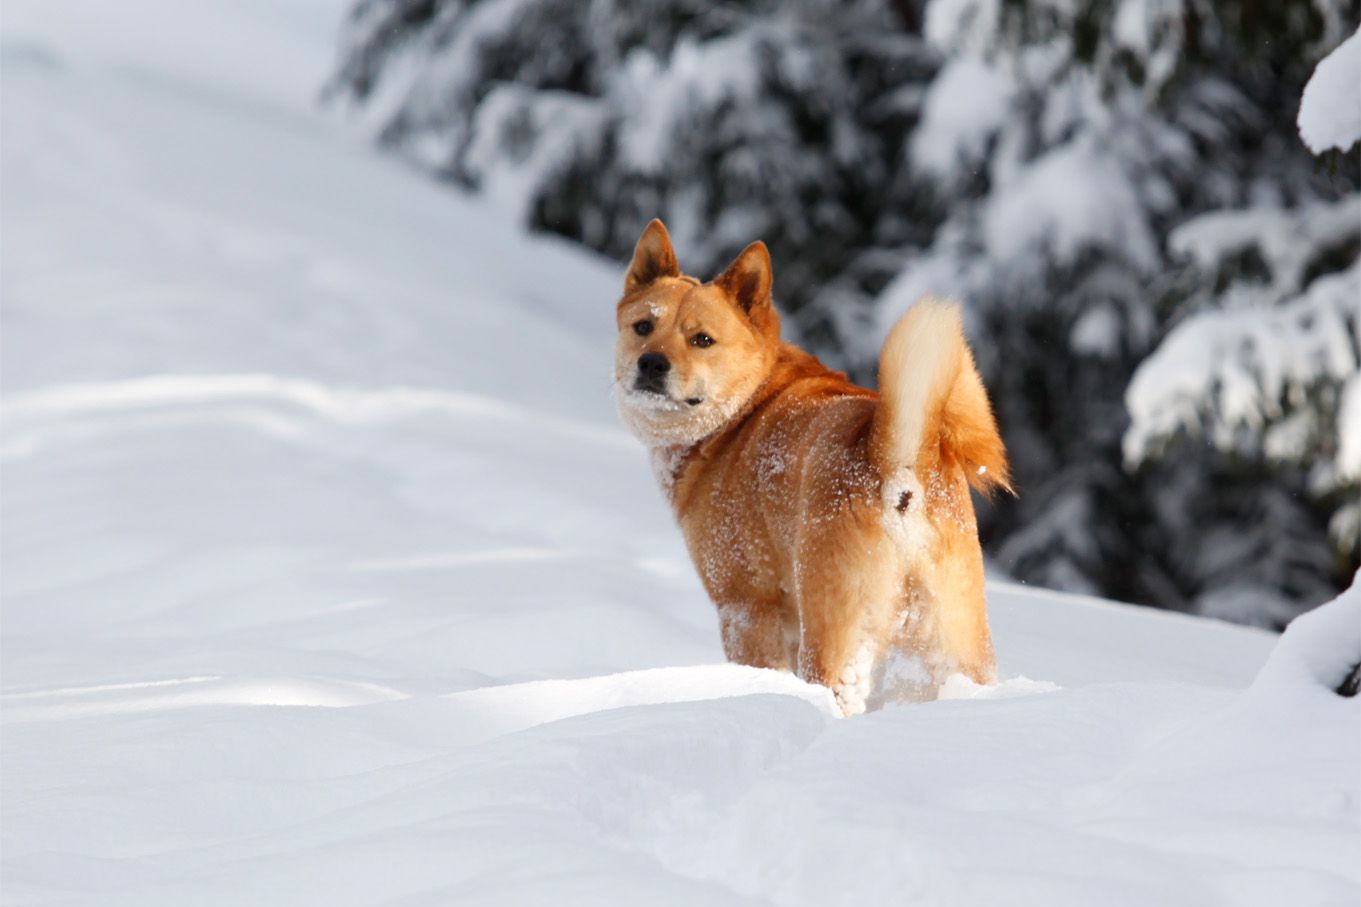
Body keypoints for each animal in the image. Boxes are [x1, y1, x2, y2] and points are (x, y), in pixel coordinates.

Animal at [617, 219, 1012, 713]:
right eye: (643, 326)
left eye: (702, 339)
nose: (651, 363)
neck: (743, 410)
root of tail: (897, 463)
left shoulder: (746, 607)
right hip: (957, 638)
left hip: (833, 629)